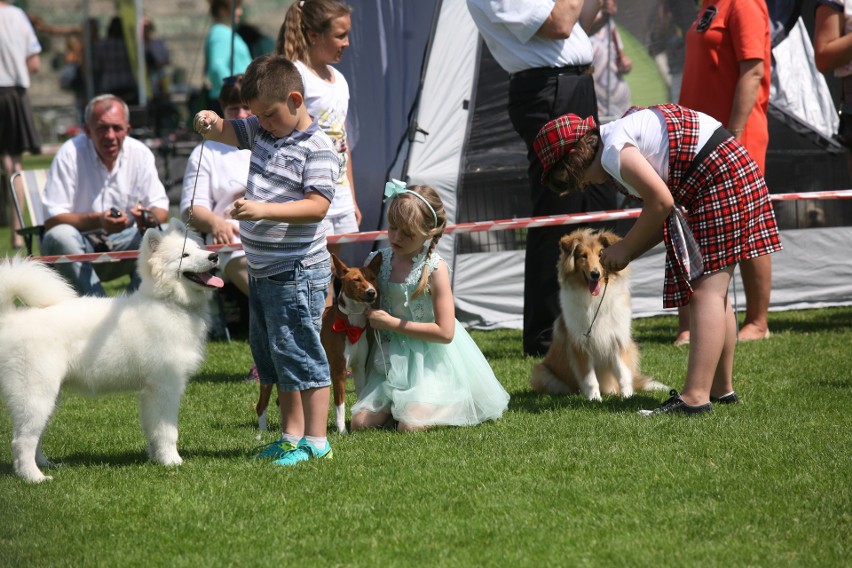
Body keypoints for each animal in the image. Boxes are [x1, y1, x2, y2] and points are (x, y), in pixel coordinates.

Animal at [0, 220, 223, 482]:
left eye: (199, 248)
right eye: (184, 255)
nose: (214, 256)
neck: (169, 304)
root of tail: (10, 318)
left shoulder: (149, 392)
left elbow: (153, 429)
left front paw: (156, 458)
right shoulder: (165, 387)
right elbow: (168, 430)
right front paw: (173, 462)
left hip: (50, 397)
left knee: (35, 437)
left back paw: (46, 465)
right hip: (35, 393)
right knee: (21, 440)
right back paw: (34, 478)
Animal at [322, 251, 382, 432]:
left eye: (373, 278)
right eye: (356, 279)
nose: (371, 292)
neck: (351, 324)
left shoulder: (359, 368)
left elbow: (361, 395)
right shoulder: (339, 371)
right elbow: (339, 405)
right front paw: (342, 430)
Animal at [528, 229, 668, 402]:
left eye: (601, 254)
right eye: (583, 256)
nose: (595, 274)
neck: (595, 298)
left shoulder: (617, 341)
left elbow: (623, 374)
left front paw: (627, 397)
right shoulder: (580, 346)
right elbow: (590, 379)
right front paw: (595, 399)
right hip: (541, 371)